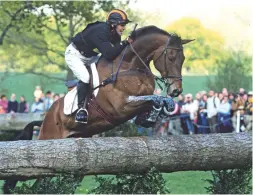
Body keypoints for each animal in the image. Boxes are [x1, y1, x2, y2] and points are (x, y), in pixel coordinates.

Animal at [2, 25, 194, 193]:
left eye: (183, 59)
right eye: (171, 57)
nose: (176, 90)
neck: (130, 67)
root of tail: (46, 118)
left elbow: (158, 101)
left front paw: (152, 116)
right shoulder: (121, 107)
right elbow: (156, 99)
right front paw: (154, 112)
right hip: (47, 144)